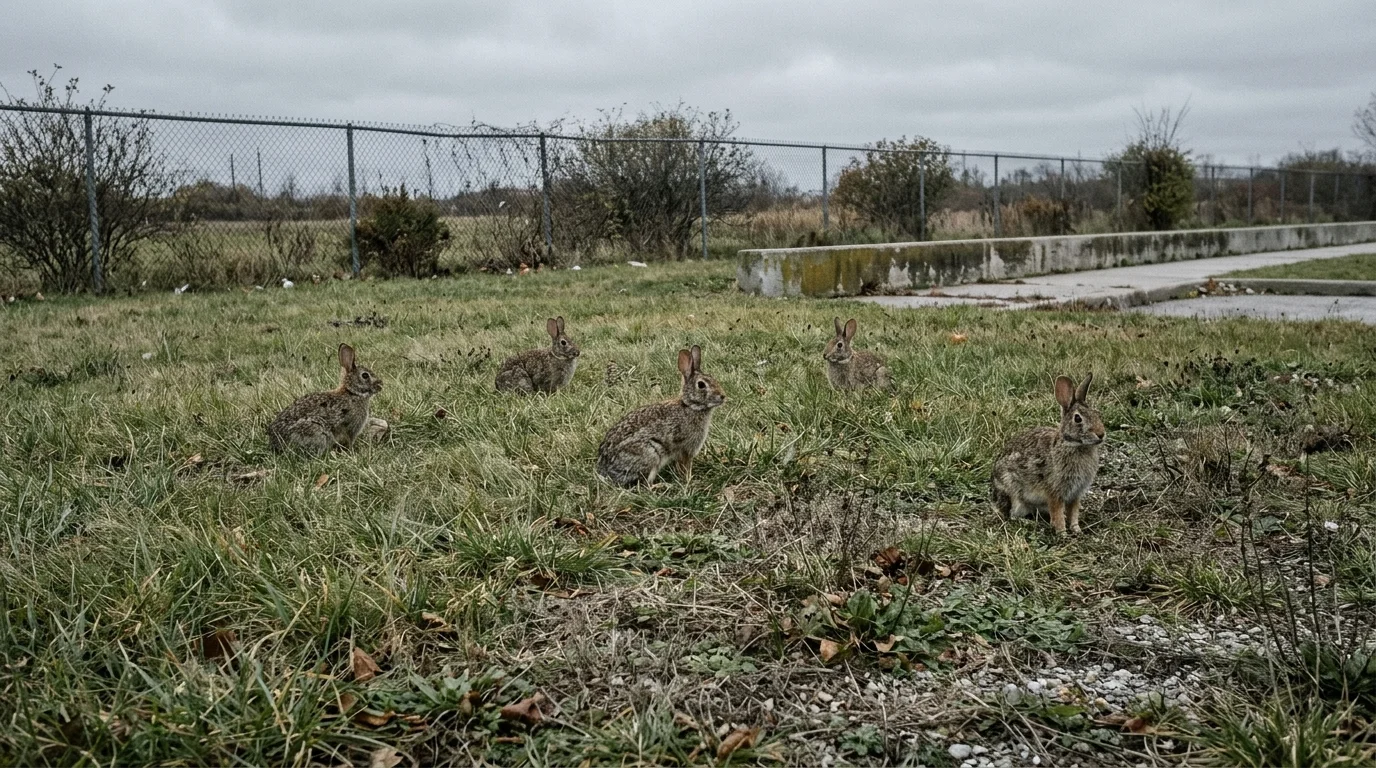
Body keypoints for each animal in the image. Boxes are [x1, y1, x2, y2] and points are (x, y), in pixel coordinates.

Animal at [597, 345, 726, 487]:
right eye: (701, 385)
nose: (723, 396)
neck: (690, 405)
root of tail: (606, 469)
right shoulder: (686, 449)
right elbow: (685, 467)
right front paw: (689, 480)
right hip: (650, 455)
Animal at [991, 373, 1104, 536]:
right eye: (1078, 418)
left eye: (1097, 414)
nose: (1101, 434)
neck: (1074, 445)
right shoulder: (1054, 492)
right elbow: (1057, 513)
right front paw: (1062, 533)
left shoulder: (1076, 494)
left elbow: (1073, 512)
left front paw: (1077, 530)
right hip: (1013, 492)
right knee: (1012, 515)